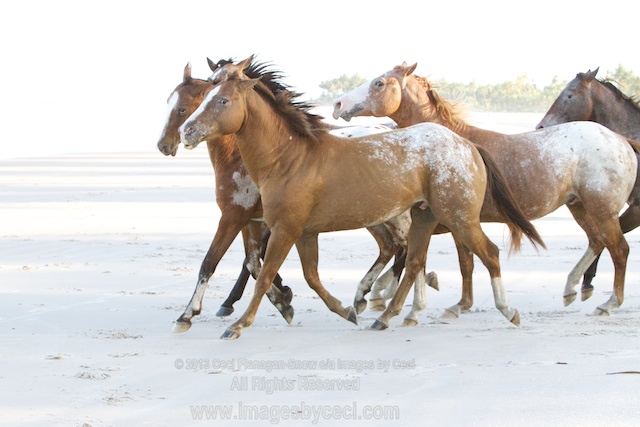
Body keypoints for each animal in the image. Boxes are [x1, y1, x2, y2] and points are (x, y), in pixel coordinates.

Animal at [156, 62, 294, 332]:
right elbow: (254, 263)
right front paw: (284, 301)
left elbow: (210, 262)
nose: (163, 144)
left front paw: (187, 315)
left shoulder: (233, 217)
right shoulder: (251, 220)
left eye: (181, 107)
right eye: (168, 101)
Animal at [178, 65, 545, 339]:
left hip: (459, 218)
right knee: (414, 262)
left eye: (223, 100)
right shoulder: (304, 232)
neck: (289, 158)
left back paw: (508, 311)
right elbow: (310, 276)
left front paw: (237, 325)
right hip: (424, 217)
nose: (186, 131)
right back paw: (387, 317)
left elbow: (266, 274)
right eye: (205, 96)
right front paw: (346, 311)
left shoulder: (284, 229)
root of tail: (468, 146)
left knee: (489, 254)